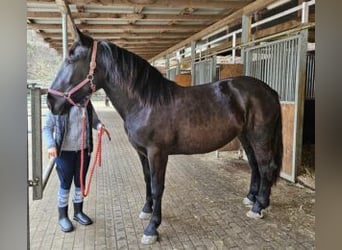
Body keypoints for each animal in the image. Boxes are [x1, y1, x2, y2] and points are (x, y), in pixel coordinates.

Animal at [47, 28, 284, 244]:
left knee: (266, 166)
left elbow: (156, 186)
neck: (145, 103)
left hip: (260, 136)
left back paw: (259, 206)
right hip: (245, 136)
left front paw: (152, 228)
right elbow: (147, 180)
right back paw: (252, 199)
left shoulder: (157, 153)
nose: (50, 101)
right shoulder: (142, 153)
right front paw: (146, 210)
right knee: (255, 166)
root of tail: (270, 91)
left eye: (72, 58)